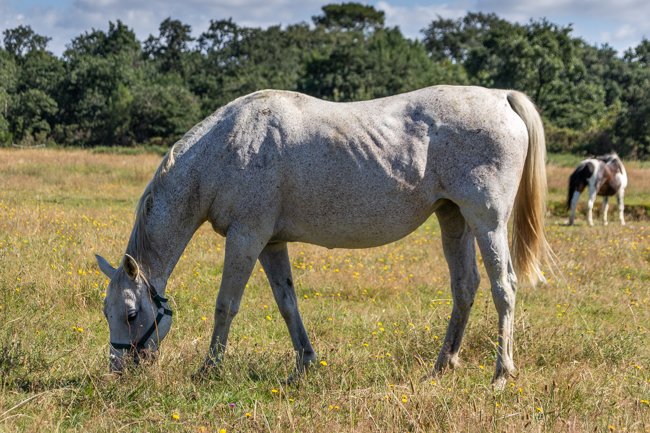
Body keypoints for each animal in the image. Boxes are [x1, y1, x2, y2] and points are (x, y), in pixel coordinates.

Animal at [96, 85, 548, 388]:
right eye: (107, 313)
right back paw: (443, 364)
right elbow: (287, 304)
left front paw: (209, 369)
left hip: (486, 221)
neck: (225, 149)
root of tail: (501, 98)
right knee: (465, 287)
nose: (119, 372)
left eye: (131, 314)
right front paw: (306, 363)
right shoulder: (271, 244)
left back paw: (500, 373)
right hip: (453, 219)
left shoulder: (246, 239)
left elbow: (226, 305)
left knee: (503, 287)